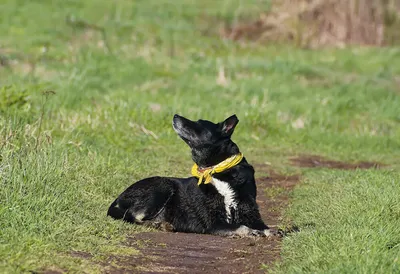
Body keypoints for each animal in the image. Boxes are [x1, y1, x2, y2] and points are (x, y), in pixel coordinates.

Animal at [106, 114, 270, 237]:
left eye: (199, 123)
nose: (175, 115)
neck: (219, 170)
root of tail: (118, 198)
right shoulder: (214, 222)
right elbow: (241, 227)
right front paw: (251, 232)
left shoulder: (250, 211)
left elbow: (265, 228)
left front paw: (267, 232)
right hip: (163, 186)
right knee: (132, 216)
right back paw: (159, 224)